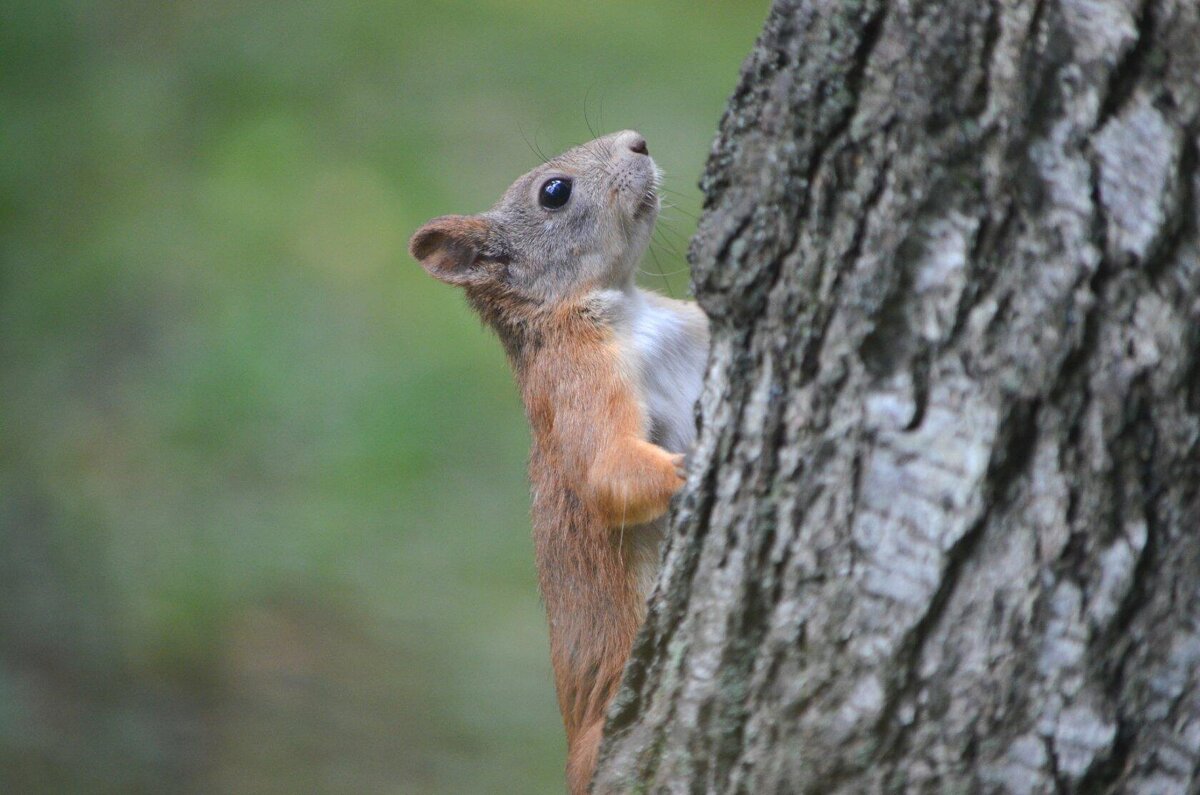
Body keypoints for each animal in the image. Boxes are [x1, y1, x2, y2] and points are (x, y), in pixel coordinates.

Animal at [408, 129, 705, 792]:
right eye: (554, 192)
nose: (636, 141)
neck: (628, 306)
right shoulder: (578, 381)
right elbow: (608, 474)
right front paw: (695, 467)